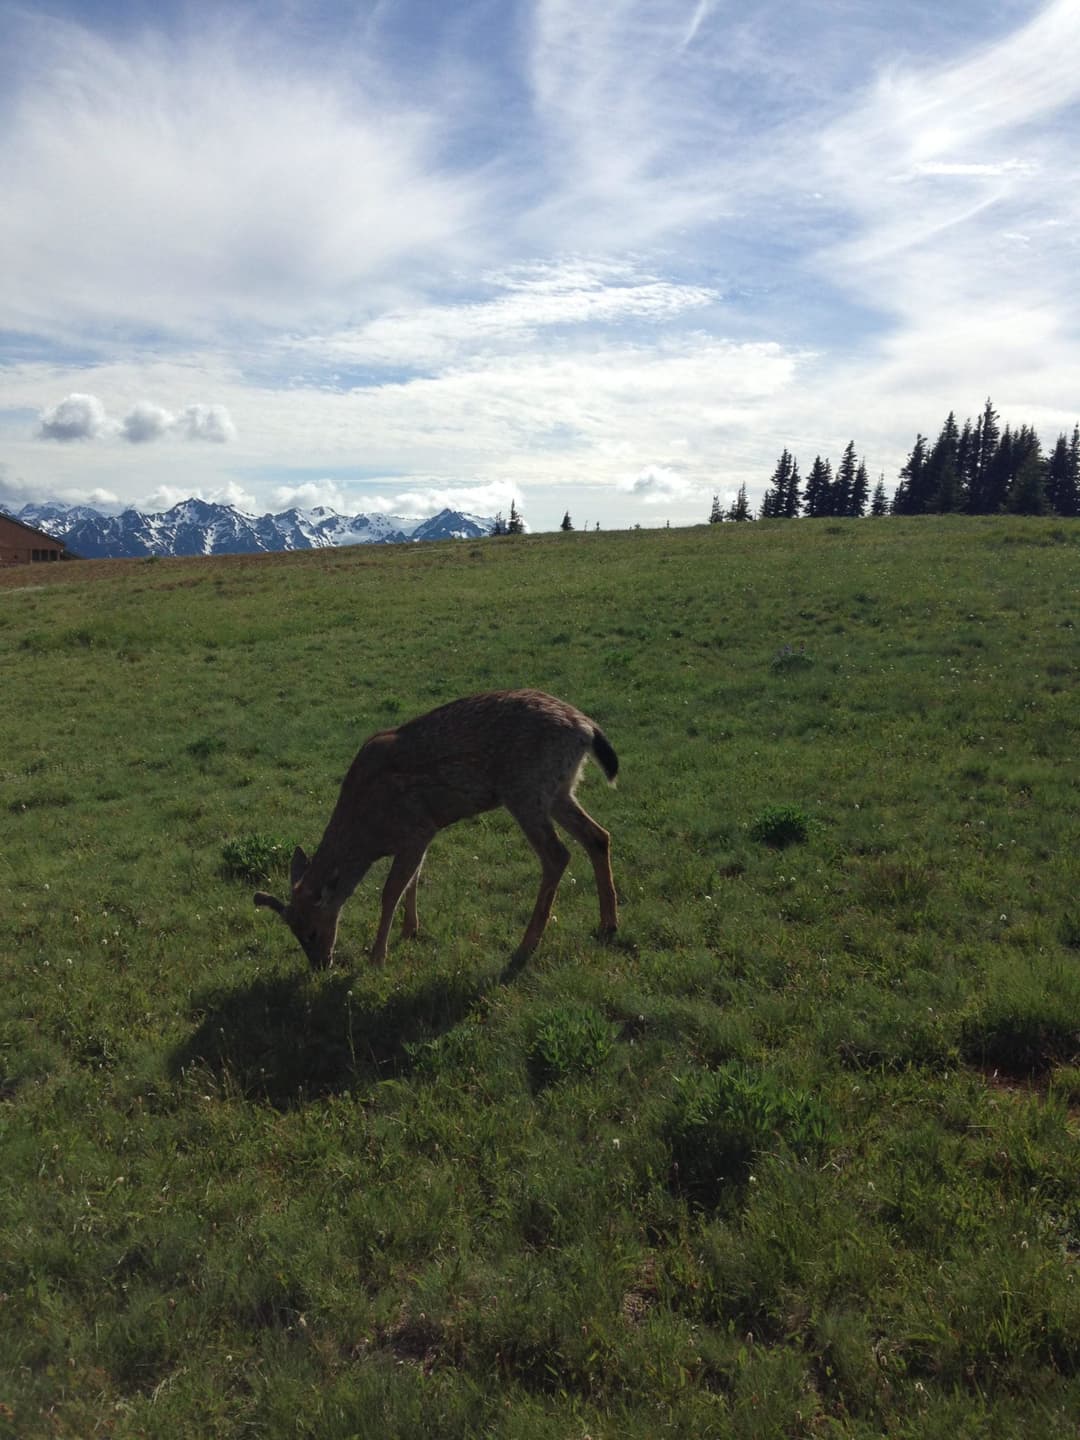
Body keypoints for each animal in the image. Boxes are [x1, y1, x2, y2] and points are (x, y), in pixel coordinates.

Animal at [253, 689, 619, 968]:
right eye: (293, 931)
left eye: (312, 932)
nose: (320, 965)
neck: (369, 833)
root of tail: (586, 728)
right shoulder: (425, 830)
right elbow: (414, 879)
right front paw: (410, 931)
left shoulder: (415, 827)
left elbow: (390, 891)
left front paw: (377, 957)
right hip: (560, 790)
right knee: (598, 836)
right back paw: (608, 926)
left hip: (526, 789)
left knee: (557, 855)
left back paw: (526, 945)